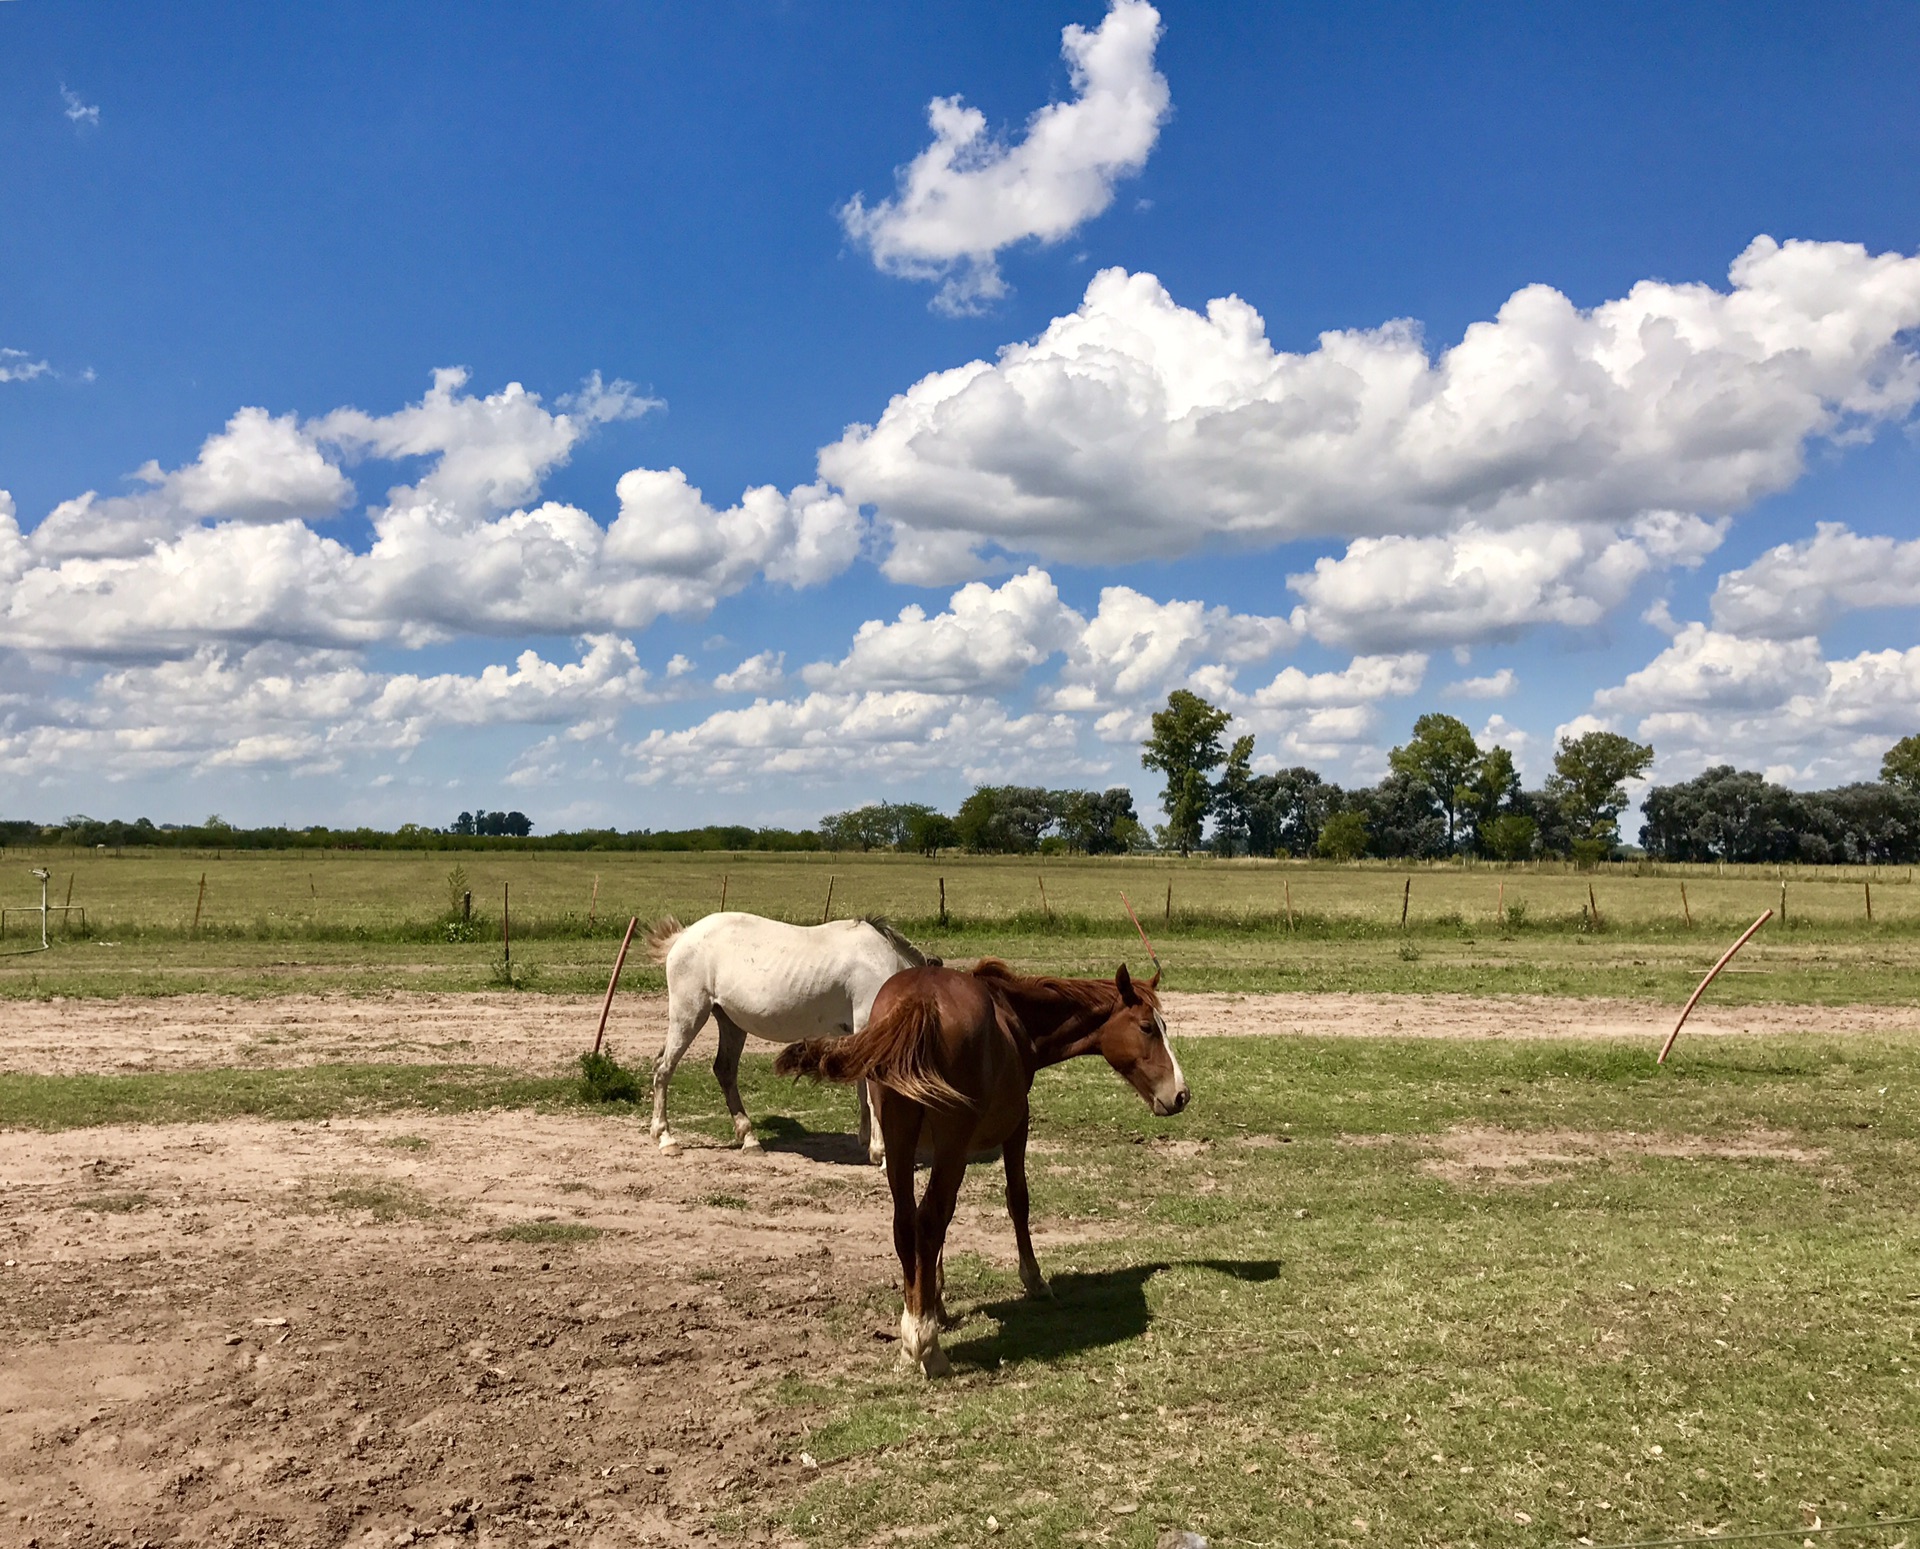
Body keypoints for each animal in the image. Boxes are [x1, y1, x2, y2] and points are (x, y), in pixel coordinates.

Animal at [645, 913, 929, 1159]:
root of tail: (684, 935)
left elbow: (863, 1088)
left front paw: (867, 1141)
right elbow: (873, 1091)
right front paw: (881, 1153)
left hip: (731, 1023)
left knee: (724, 1071)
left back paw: (750, 1139)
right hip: (689, 1015)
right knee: (663, 1069)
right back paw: (666, 1138)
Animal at [775, 955, 1182, 1382]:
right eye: (1148, 1027)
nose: (1180, 1095)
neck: (1014, 1017)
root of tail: (921, 1000)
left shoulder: (934, 1149)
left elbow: (941, 1222)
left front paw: (934, 1297)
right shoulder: (1016, 1126)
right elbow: (1016, 1199)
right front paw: (1034, 1279)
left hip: (901, 1139)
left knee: (908, 1221)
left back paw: (911, 1335)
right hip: (954, 1139)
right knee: (928, 1219)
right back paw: (925, 1344)